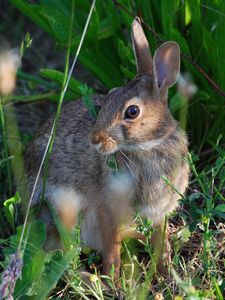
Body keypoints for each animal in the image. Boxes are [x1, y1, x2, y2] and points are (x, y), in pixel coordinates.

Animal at [24, 17, 189, 282]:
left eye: (132, 111)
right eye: (110, 95)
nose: (95, 139)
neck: (147, 147)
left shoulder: (159, 213)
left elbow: (160, 242)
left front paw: (167, 272)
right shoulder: (107, 209)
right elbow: (112, 248)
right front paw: (112, 280)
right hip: (61, 210)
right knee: (56, 254)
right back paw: (88, 278)